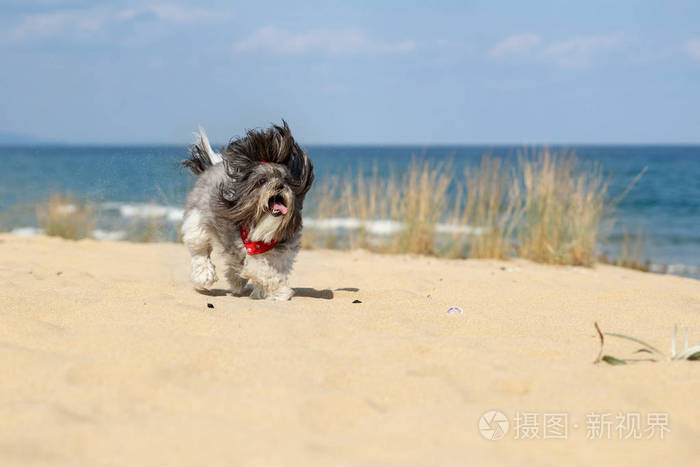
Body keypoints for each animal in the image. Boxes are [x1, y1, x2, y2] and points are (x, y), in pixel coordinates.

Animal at [180, 120, 314, 302]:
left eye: (286, 180)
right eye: (262, 181)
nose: (280, 185)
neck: (262, 231)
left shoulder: (282, 254)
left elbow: (274, 270)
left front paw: (271, 293)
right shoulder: (248, 253)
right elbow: (264, 271)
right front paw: (280, 291)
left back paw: (236, 282)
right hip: (197, 223)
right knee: (200, 252)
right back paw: (205, 275)